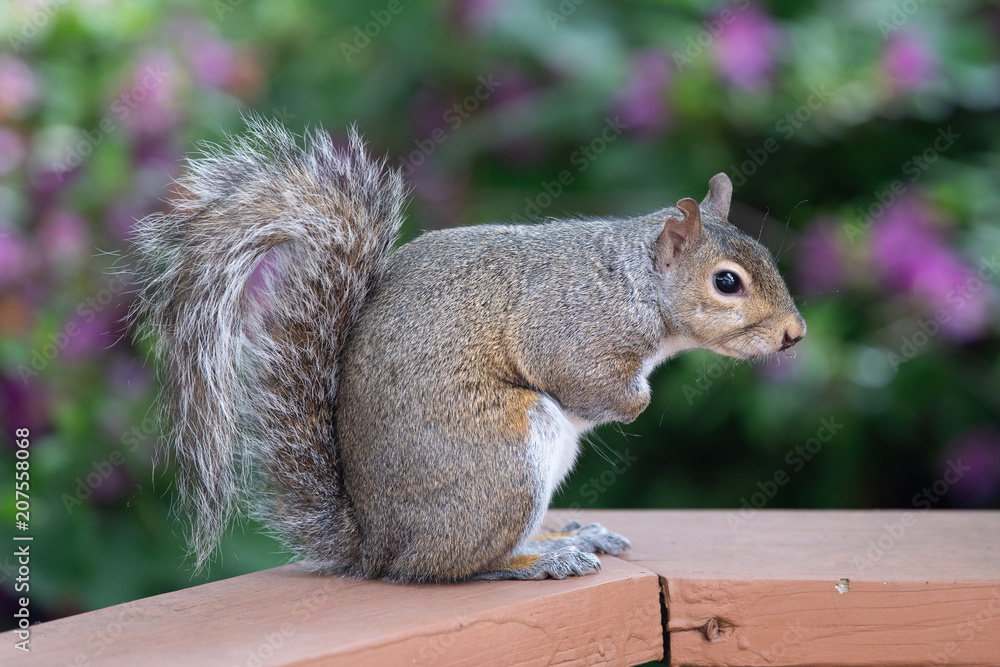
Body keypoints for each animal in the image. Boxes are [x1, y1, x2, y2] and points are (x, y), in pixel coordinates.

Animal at [131, 116, 805, 583]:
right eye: (727, 282)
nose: (794, 334)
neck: (634, 282)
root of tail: (379, 547)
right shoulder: (571, 328)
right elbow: (584, 380)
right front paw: (635, 401)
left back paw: (566, 539)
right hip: (506, 455)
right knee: (460, 564)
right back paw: (542, 559)